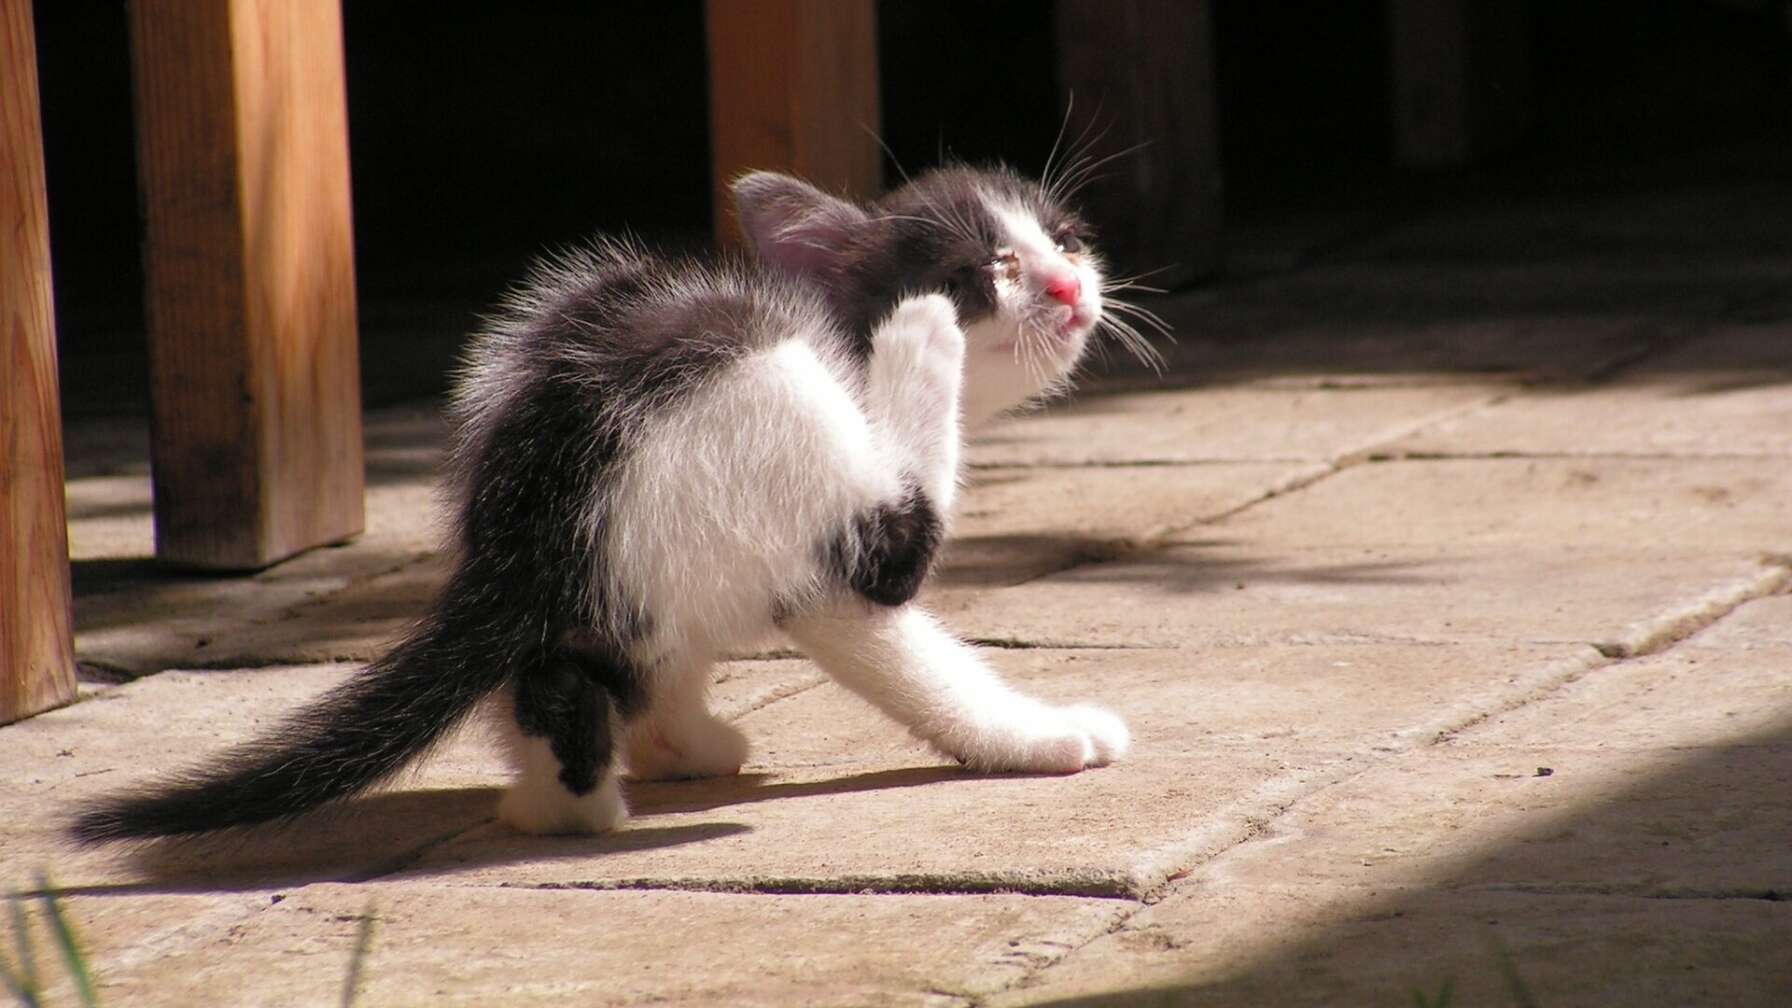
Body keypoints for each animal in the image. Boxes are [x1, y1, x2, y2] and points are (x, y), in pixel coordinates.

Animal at [73, 166, 1132, 839]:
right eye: (986, 267)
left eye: (1067, 239)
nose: (1072, 285)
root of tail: (535, 497)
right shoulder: (825, 542)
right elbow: (909, 647)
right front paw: (1036, 737)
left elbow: (674, 660)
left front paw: (678, 739)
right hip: (770, 414)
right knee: (884, 539)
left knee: (563, 666)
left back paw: (553, 799)